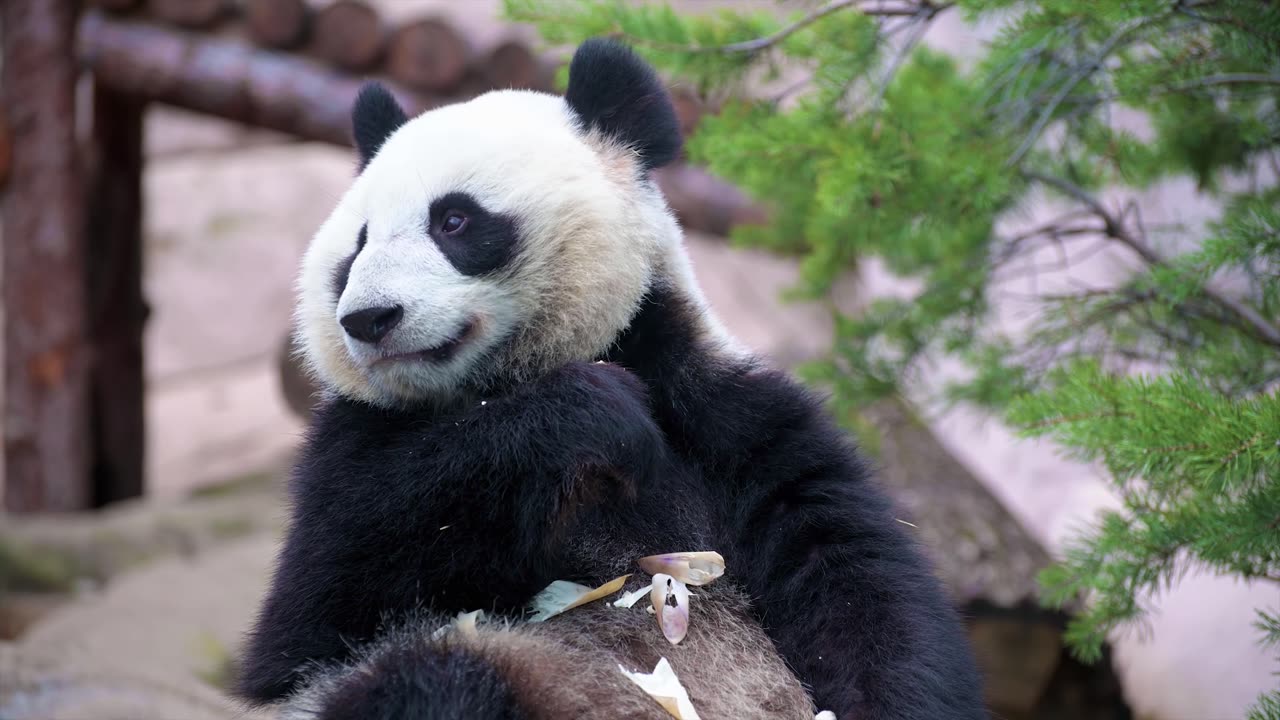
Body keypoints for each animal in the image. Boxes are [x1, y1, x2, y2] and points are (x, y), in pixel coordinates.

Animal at [237, 38, 985, 720]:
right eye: (356, 247)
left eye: (454, 220)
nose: (369, 318)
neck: (495, 381)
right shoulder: (351, 448)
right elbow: (310, 621)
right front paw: (589, 414)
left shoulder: (728, 418)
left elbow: (857, 579)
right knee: (429, 679)